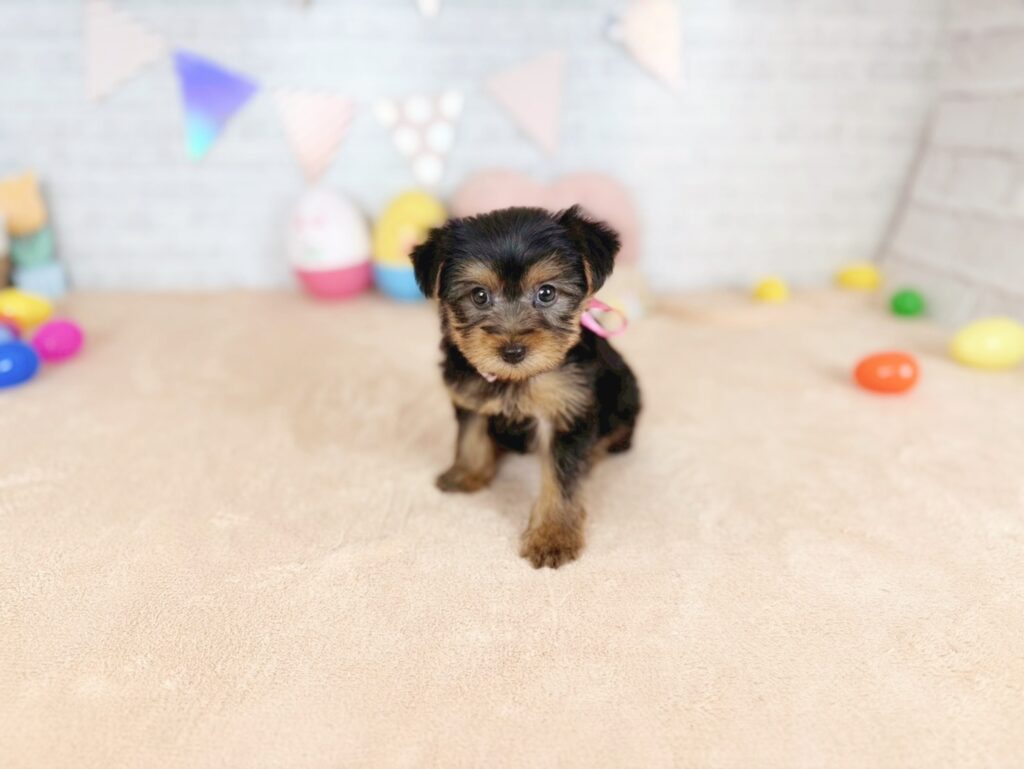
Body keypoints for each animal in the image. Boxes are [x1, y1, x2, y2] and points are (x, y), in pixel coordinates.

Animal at [410, 205, 641, 568]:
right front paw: (468, 473)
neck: (518, 378)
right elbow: (471, 434)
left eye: (546, 293)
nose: (512, 351)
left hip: (624, 394)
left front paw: (552, 536)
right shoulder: (470, 389)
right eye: (479, 295)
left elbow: (561, 479)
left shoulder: (567, 411)